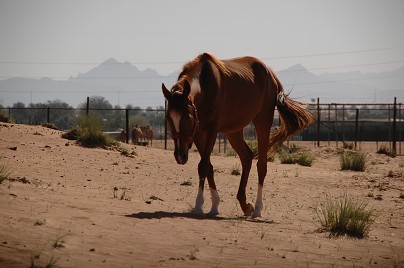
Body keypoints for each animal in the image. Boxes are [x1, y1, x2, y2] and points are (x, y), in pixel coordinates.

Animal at [163, 52, 314, 218]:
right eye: (169, 118)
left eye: (187, 116)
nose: (180, 156)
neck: (206, 86)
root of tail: (271, 74)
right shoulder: (197, 134)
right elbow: (208, 166)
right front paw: (214, 205)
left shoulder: (212, 130)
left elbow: (203, 166)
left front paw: (199, 204)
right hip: (234, 132)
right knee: (247, 157)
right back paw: (245, 205)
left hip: (262, 123)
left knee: (261, 166)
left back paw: (257, 209)